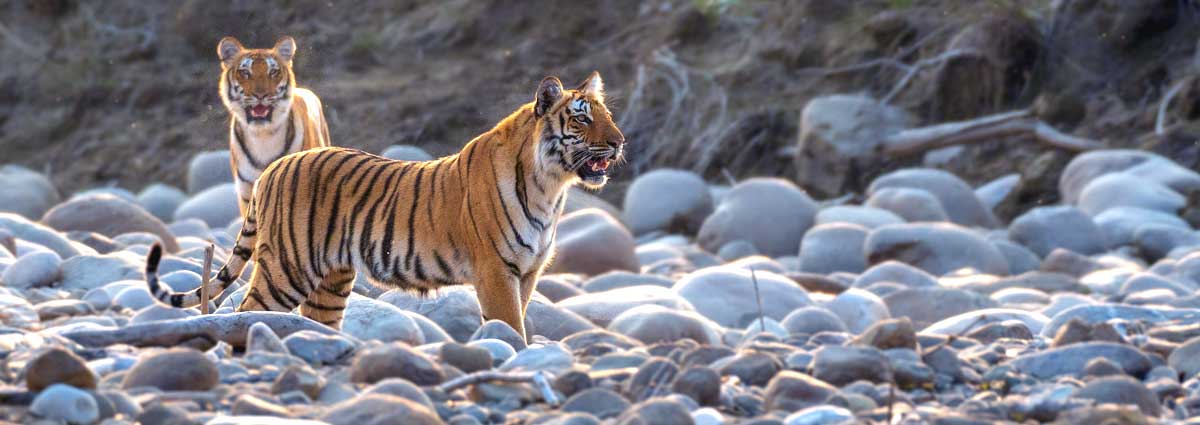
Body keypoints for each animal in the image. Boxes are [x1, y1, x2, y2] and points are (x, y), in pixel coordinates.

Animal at [145, 71, 624, 340]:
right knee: (249, 310)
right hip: (287, 268)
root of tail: (274, 166)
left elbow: (517, 321)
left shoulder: (527, 272)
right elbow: (511, 328)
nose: (621, 141)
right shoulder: (495, 270)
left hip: (332, 280)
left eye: (608, 116)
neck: (551, 186)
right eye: (582, 118)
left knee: (315, 322)